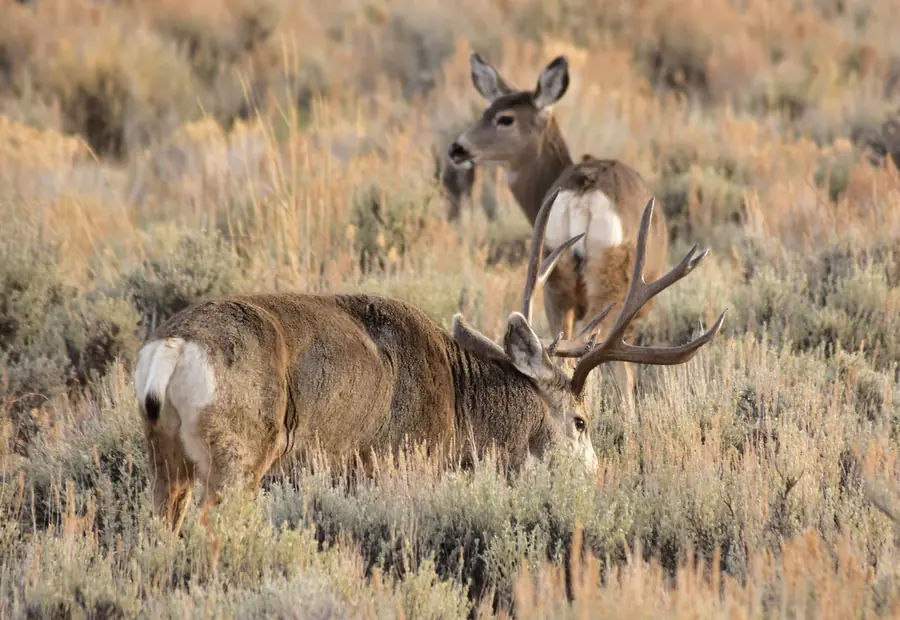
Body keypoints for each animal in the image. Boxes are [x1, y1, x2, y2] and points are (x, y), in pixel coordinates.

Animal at [133, 190, 725, 534]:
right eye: (581, 421)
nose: (597, 480)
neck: (460, 410)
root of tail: (171, 349)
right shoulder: (398, 464)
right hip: (240, 453)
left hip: (166, 460)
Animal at [447, 52, 670, 414]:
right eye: (486, 111)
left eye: (504, 118)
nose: (457, 149)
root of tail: (583, 190)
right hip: (610, 277)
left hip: (555, 276)